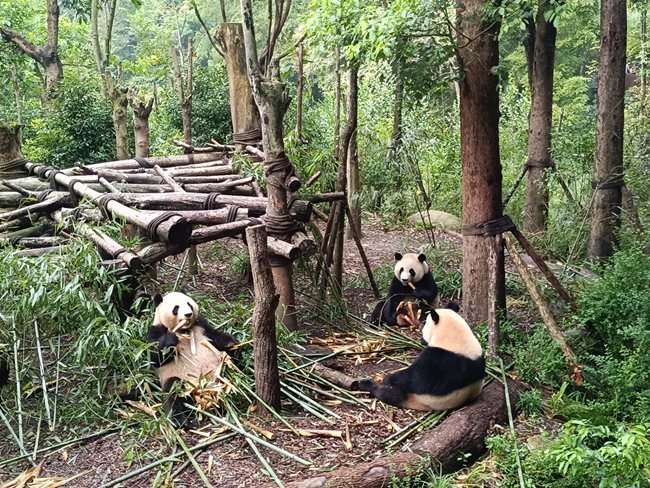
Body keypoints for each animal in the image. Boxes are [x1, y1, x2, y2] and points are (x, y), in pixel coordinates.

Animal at [147, 292, 240, 426]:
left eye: (189, 304)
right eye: (176, 308)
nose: (188, 314)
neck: (184, 330)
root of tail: (202, 390)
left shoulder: (200, 325)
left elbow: (216, 336)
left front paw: (232, 344)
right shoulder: (156, 330)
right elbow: (154, 358)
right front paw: (169, 340)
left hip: (221, 373)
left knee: (230, 378)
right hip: (183, 382)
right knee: (172, 391)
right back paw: (180, 420)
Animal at [356, 308, 484, 412]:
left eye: (425, 322)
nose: (421, 334)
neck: (455, 337)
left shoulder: (440, 358)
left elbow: (417, 380)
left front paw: (388, 378)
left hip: (415, 398)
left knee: (390, 394)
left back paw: (365, 385)